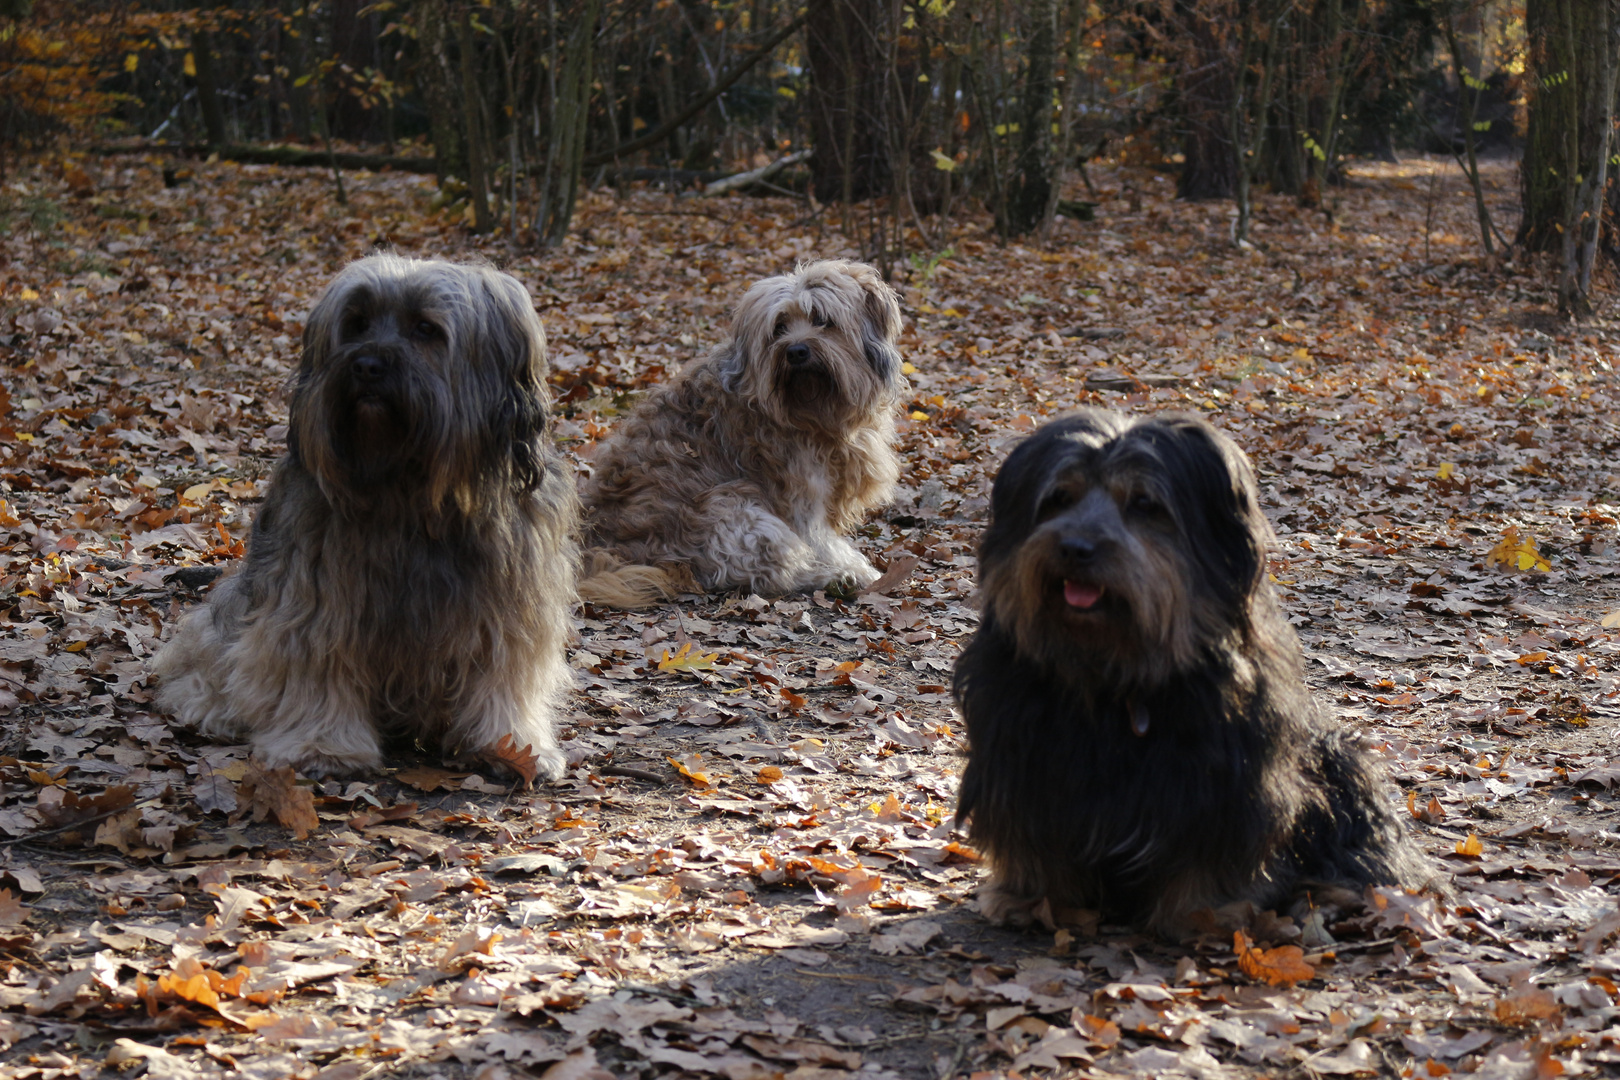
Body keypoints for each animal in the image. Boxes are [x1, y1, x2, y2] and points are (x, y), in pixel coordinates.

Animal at [153, 254, 583, 777]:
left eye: (426, 329)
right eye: (356, 325)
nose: (366, 365)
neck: (413, 495)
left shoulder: (511, 606)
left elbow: (504, 674)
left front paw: (510, 746)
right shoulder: (317, 599)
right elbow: (317, 663)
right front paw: (322, 745)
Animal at [583, 257, 913, 605]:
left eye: (823, 320)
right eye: (779, 327)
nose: (796, 351)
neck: (812, 411)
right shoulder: (801, 496)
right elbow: (820, 539)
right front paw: (856, 567)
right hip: (728, 509)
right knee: (769, 571)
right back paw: (836, 576)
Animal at [952, 409, 1425, 932]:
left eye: (1144, 503)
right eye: (1059, 498)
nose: (1075, 548)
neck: (1114, 673)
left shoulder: (1227, 780)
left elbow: (1212, 853)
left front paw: (1206, 913)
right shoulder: (1021, 757)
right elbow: (1033, 837)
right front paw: (1030, 898)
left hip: (1338, 761)